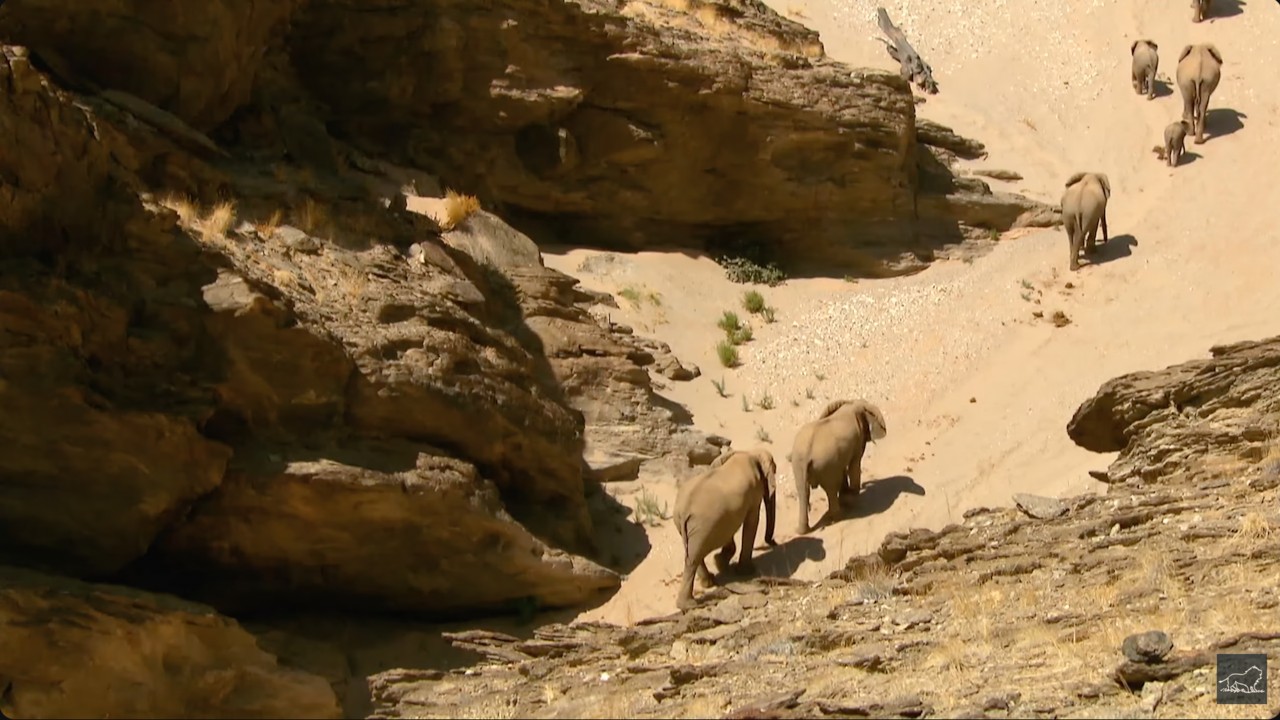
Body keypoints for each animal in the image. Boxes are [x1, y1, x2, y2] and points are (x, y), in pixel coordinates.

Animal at [673, 446, 777, 610]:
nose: (773, 542)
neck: (749, 452)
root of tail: (683, 510)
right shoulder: (754, 490)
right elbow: (752, 521)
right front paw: (747, 571)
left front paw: (720, 562)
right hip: (702, 527)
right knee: (693, 559)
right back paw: (690, 604)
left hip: (686, 526)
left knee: (691, 555)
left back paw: (708, 582)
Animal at [789, 399, 887, 535]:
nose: (865, 485)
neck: (852, 403)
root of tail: (807, 453)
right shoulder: (858, 438)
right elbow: (854, 464)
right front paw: (853, 497)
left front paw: (848, 496)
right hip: (826, 463)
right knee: (830, 488)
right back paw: (838, 516)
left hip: (798, 464)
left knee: (803, 492)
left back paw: (802, 531)